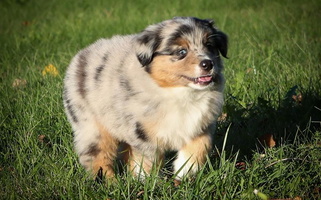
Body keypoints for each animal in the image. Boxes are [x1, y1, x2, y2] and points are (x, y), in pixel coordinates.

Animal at [63, 16, 228, 180]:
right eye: (181, 51)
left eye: (209, 46)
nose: (208, 64)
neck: (181, 93)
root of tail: (82, 54)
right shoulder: (142, 132)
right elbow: (147, 160)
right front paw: (148, 181)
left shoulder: (201, 125)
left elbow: (199, 149)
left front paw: (184, 174)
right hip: (92, 125)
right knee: (98, 157)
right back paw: (109, 182)